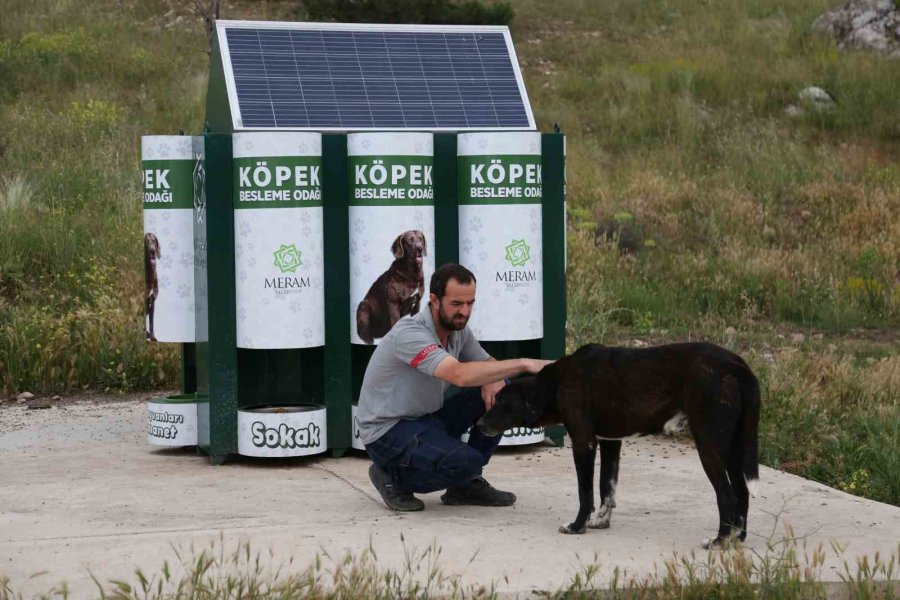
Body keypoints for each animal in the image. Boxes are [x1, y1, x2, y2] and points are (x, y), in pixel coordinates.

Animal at [478, 342, 760, 548]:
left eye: (502, 403)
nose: (479, 424)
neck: (557, 382)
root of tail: (736, 364)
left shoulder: (584, 441)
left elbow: (585, 493)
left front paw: (577, 526)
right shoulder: (610, 442)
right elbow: (607, 486)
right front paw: (601, 521)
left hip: (709, 441)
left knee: (726, 494)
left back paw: (719, 541)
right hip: (732, 447)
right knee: (743, 491)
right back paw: (738, 538)